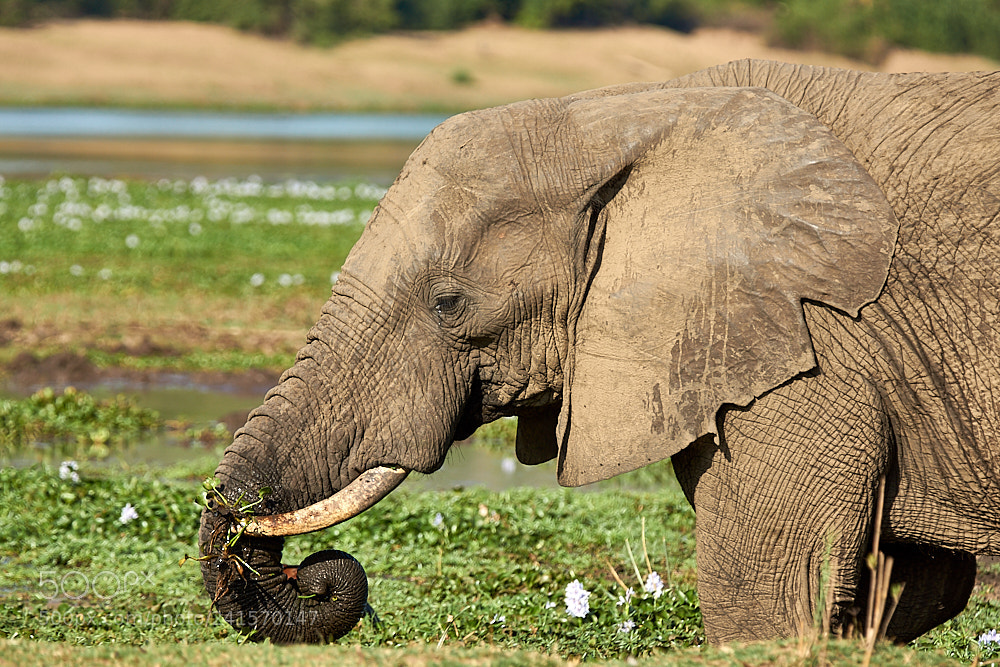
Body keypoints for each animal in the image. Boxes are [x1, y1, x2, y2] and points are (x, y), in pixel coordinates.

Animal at [198, 58, 1000, 645]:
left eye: (448, 303)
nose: (310, 576)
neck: (620, 117)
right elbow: (905, 593)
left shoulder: (808, 345)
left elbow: (767, 598)